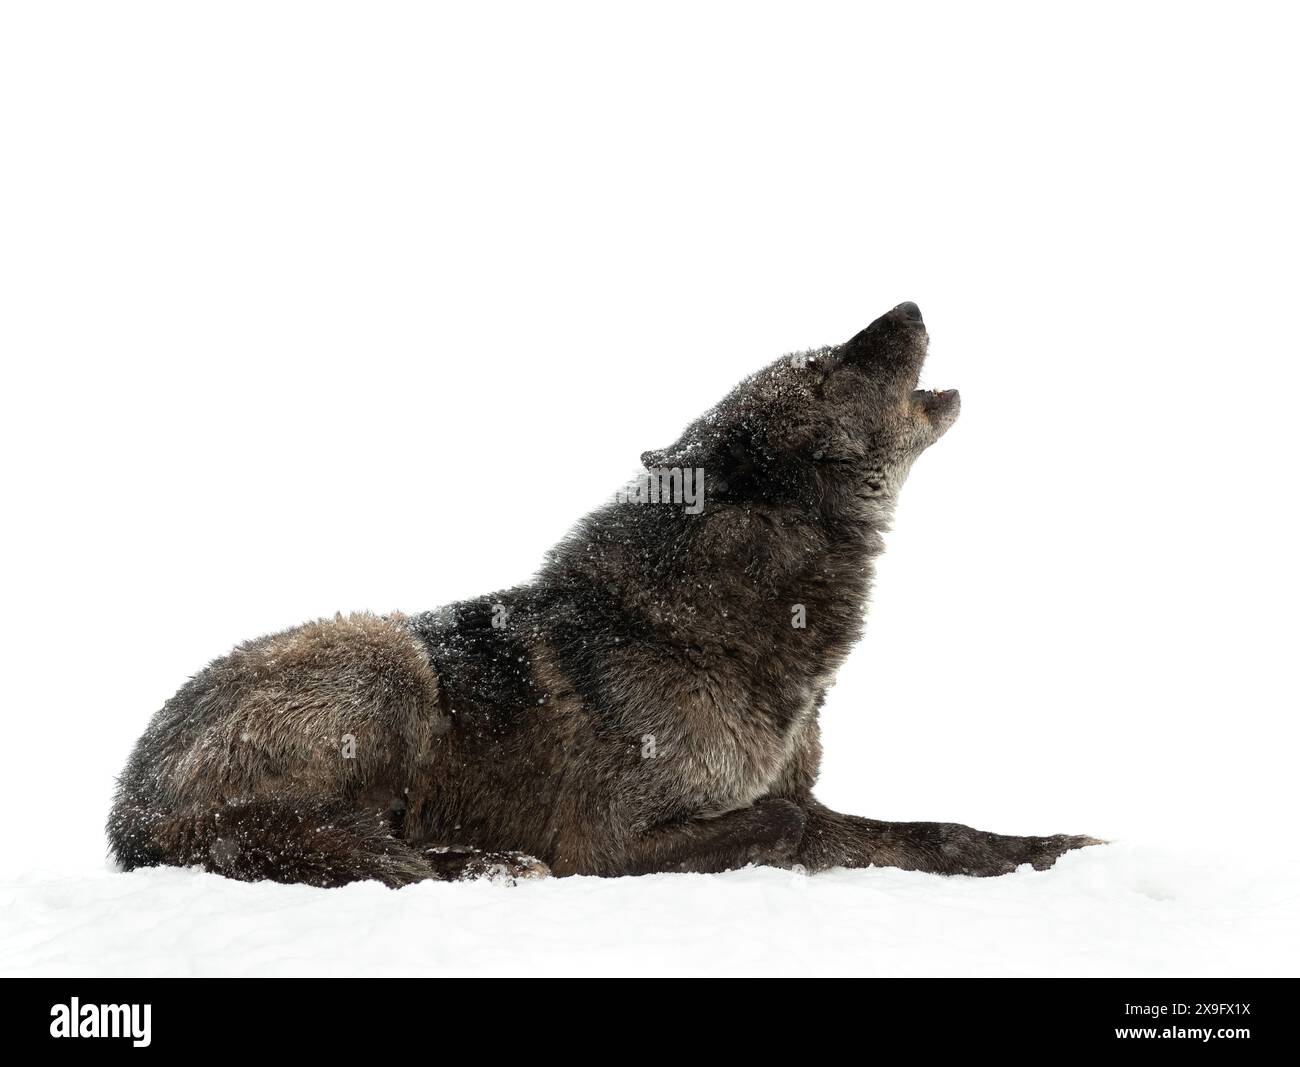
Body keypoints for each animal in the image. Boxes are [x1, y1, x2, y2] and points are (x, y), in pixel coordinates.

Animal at [106, 304, 1097, 888]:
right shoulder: (611, 840)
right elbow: (780, 824)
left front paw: (1051, 851)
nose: (909, 306)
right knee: (338, 843)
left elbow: (929, 832)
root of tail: (129, 808)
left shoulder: (808, 795)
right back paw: (479, 861)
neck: (702, 630)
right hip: (384, 662)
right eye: (824, 371)